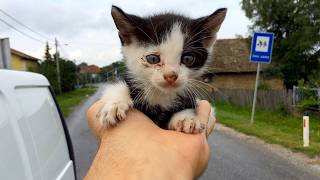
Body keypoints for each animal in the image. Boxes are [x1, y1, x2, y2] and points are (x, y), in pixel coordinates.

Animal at [97, 5, 228, 133]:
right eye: (153, 59)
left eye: (188, 59)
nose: (171, 76)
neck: (161, 95)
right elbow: (118, 86)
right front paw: (115, 104)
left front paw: (185, 118)